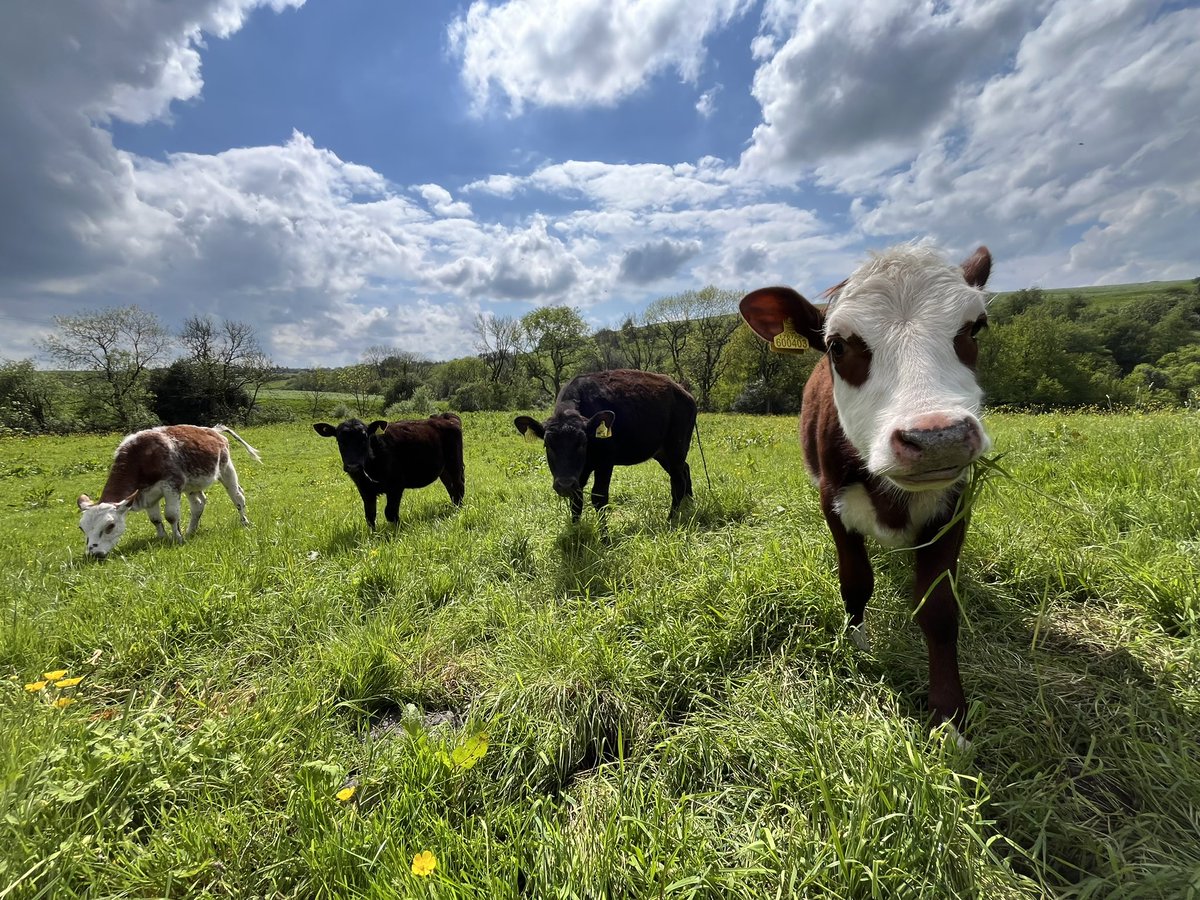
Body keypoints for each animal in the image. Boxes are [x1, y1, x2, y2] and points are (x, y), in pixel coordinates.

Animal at [77, 424, 261, 559]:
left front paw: (177, 539)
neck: (142, 456)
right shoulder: (146, 494)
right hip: (192, 484)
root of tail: (213, 430)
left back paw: (244, 522)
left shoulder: (172, 485)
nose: (93, 554)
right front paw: (162, 537)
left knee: (237, 496)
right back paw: (191, 530)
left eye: (110, 526)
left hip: (226, 468)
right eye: (81, 528)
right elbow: (155, 519)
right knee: (198, 504)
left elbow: (171, 516)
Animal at [312, 414, 465, 529]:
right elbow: (370, 515)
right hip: (444, 470)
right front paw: (372, 536)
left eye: (365, 438)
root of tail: (444, 416)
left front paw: (396, 531)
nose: (353, 466)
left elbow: (390, 512)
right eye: (340, 440)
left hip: (454, 464)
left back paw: (459, 509)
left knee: (459, 485)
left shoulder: (396, 485)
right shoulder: (365, 489)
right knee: (450, 487)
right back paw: (454, 506)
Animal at [514, 369, 697, 521]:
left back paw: (670, 519)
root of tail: (682, 391)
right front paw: (575, 531)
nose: (564, 484)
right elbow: (576, 500)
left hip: (676, 448)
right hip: (661, 452)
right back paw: (690, 505)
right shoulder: (578, 474)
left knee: (677, 482)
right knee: (685, 470)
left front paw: (604, 538)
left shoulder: (605, 462)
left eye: (583, 442)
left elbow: (599, 498)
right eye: (547, 444)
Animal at [739, 244, 993, 734]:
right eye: (837, 346)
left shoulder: (956, 504)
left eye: (975, 327)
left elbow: (938, 608)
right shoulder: (832, 503)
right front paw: (854, 644)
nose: (938, 437)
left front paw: (950, 717)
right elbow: (855, 581)